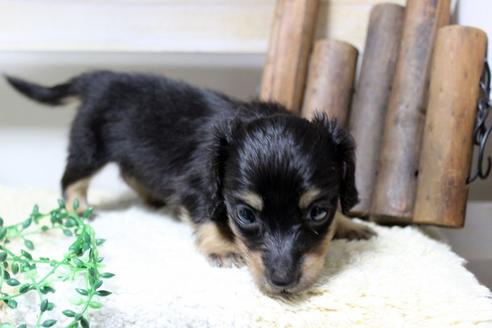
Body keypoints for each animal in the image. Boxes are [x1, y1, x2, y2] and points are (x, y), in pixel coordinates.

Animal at [4, 71, 372, 294]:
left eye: (318, 212)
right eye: (246, 215)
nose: (282, 282)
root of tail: (98, 78)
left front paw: (349, 224)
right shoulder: (197, 186)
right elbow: (207, 215)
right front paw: (223, 248)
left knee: (129, 172)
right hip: (89, 146)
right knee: (71, 178)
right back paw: (78, 208)